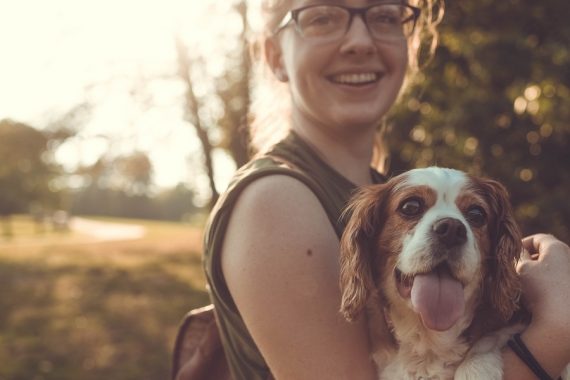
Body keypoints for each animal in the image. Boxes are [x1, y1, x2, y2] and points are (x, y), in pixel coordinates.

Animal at [340, 167, 564, 380]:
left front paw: (476, 368)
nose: (451, 229)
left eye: (477, 214)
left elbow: (491, 338)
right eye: (410, 206)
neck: (431, 338)